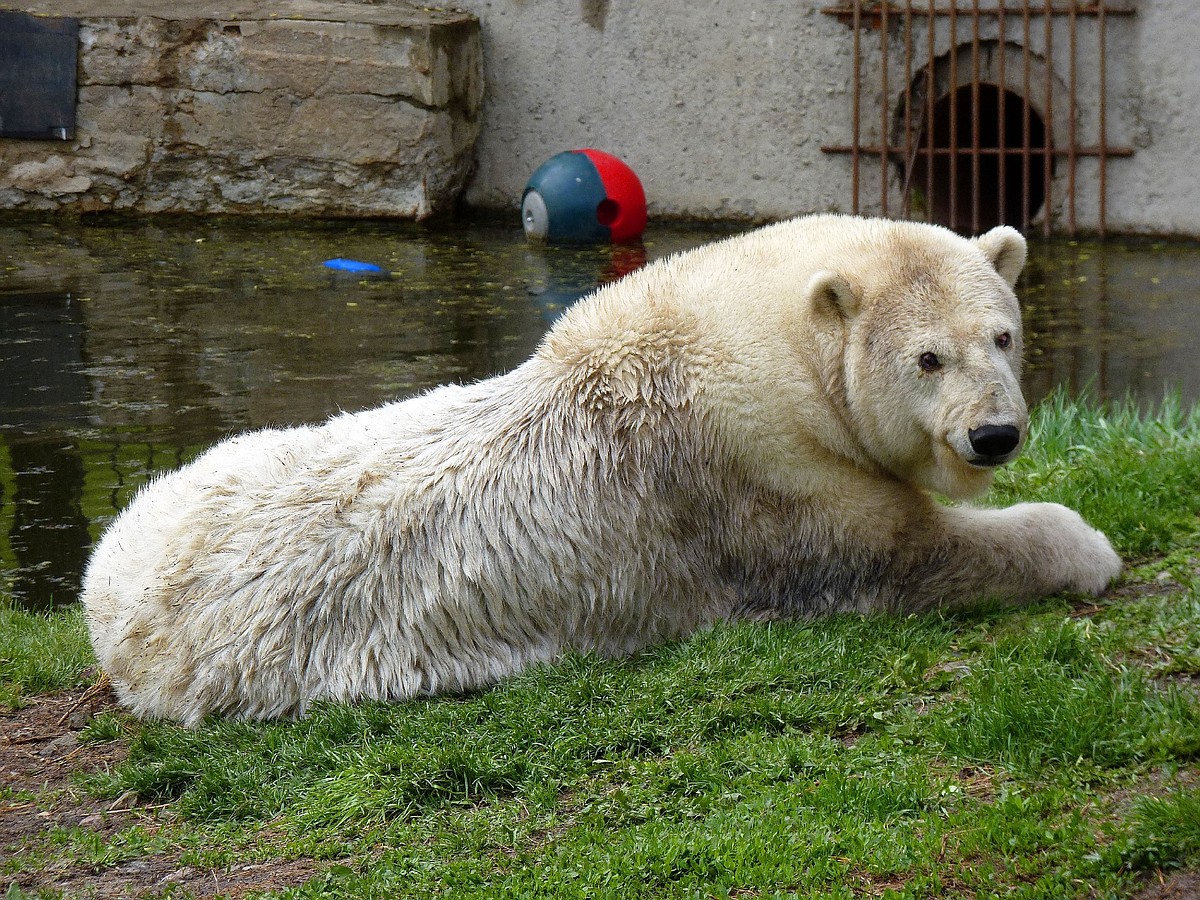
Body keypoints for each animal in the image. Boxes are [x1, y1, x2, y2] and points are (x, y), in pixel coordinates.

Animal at [79, 213, 1118, 724]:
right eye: (927, 359)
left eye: (1003, 335)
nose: (994, 436)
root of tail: (104, 596)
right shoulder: (766, 478)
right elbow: (903, 555)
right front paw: (1084, 545)